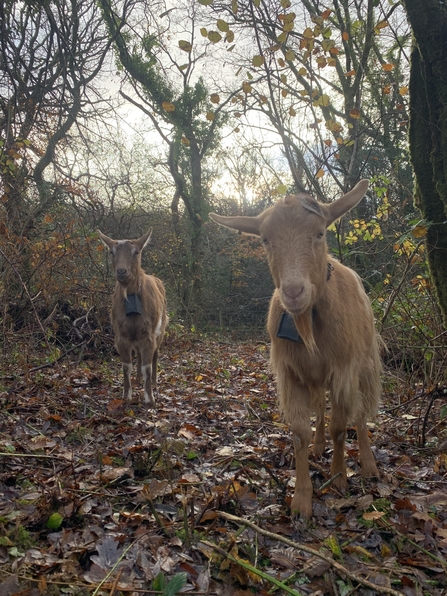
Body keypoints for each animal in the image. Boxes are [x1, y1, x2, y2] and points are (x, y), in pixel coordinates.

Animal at [98, 227, 168, 406]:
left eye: (136, 252)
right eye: (111, 251)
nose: (122, 271)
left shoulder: (149, 333)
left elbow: (147, 366)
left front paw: (149, 398)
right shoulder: (120, 334)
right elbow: (126, 366)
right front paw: (126, 395)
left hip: (161, 328)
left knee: (156, 353)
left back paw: (154, 381)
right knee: (138, 354)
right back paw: (138, 378)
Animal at [210, 180, 382, 516]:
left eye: (320, 233)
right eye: (265, 240)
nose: (293, 291)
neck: (307, 323)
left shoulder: (343, 369)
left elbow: (340, 426)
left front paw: (339, 478)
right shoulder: (290, 373)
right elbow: (300, 433)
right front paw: (302, 499)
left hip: (365, 362)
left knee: (360, 410)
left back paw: (368, 464)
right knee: (320, 406)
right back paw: (319, 446)